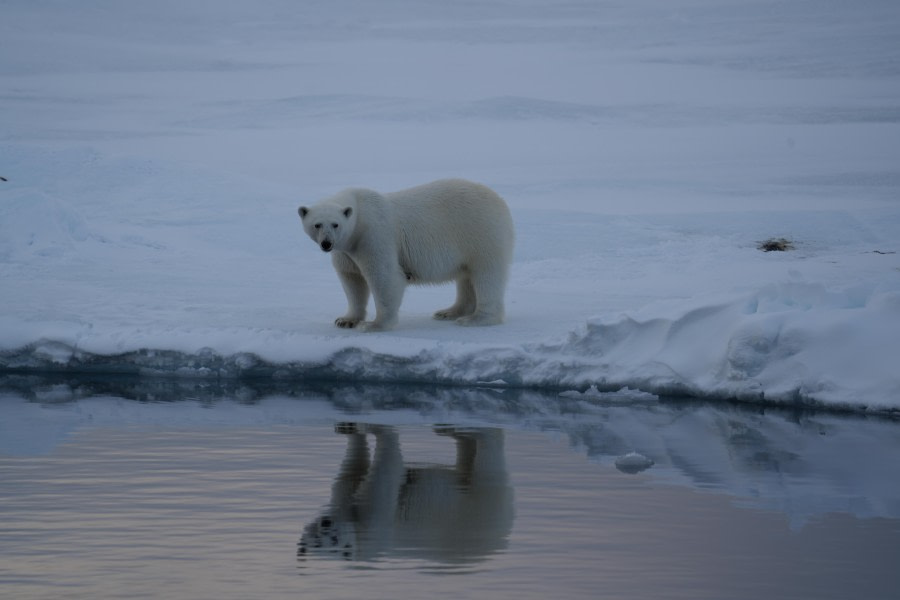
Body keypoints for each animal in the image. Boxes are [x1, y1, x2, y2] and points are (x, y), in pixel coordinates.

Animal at [298, 179, 514, 331]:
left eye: (335, 224)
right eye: (317, 224)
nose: (327, 243)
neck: (359, 217)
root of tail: (501, 202)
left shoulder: (374, 236)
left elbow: (385, 277)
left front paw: (374, 325)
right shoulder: (345, 251)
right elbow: (352, 280)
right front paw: (346, 320)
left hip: (481, 234)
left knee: (486, 275)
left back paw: (475, 318)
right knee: (466, 277)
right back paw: (448, 312)